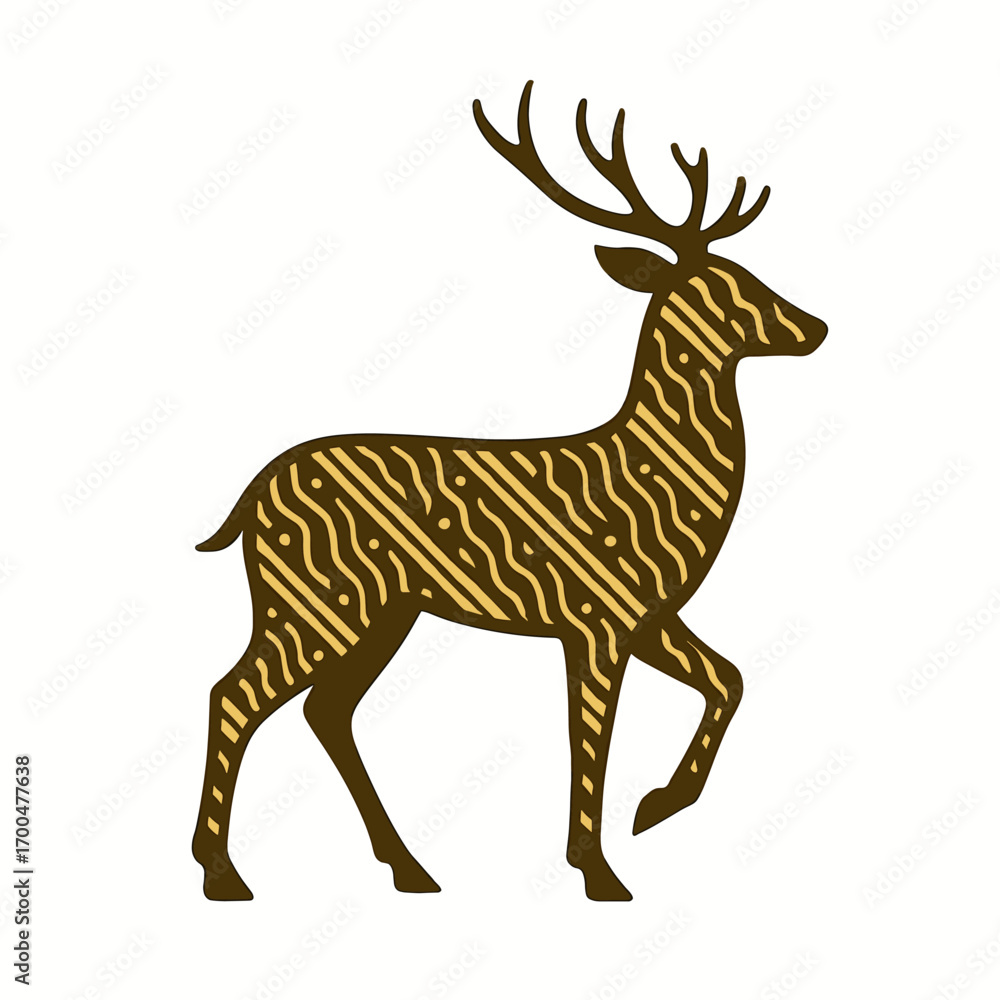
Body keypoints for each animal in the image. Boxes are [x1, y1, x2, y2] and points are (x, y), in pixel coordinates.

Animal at [191, 81, 827, 902]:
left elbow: (730, 678)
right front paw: (599, 871)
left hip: (383, 611)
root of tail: (248, 500)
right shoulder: (596, 613)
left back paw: (409, 868)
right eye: (727, 287)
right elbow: (591, 735)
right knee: (235, 693)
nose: (814, 326)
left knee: (325, 710)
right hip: (313, 595)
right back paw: (223, 874)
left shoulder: (647, 613)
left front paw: (654, 808)